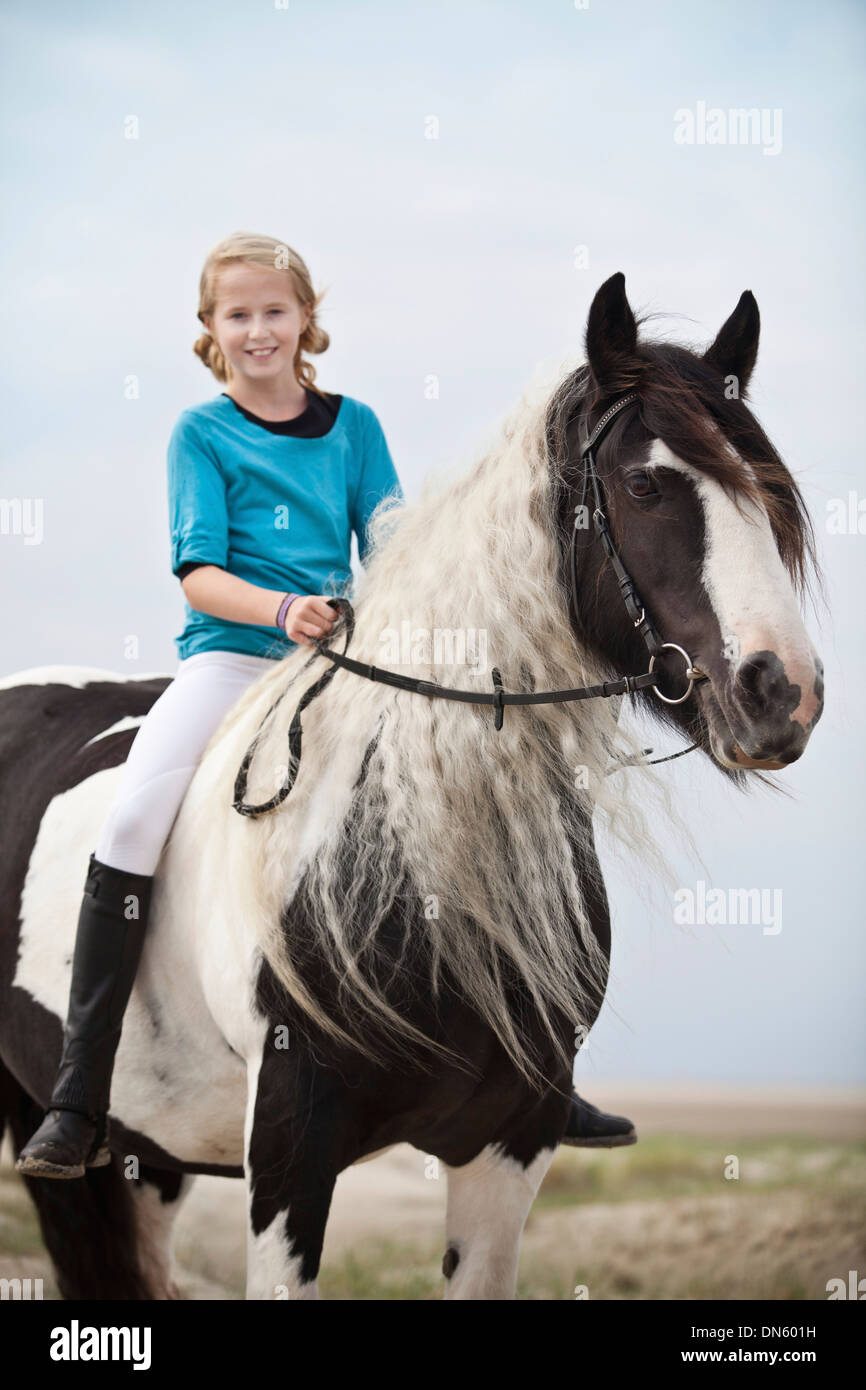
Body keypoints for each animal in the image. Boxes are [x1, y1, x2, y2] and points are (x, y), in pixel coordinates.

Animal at [0, 276, 822, 1295]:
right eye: (644, 485)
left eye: (771, 493)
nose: (783, 691)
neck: (419, 858)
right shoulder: (289, 1143)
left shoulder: (514, 1140)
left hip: (148, 1158)